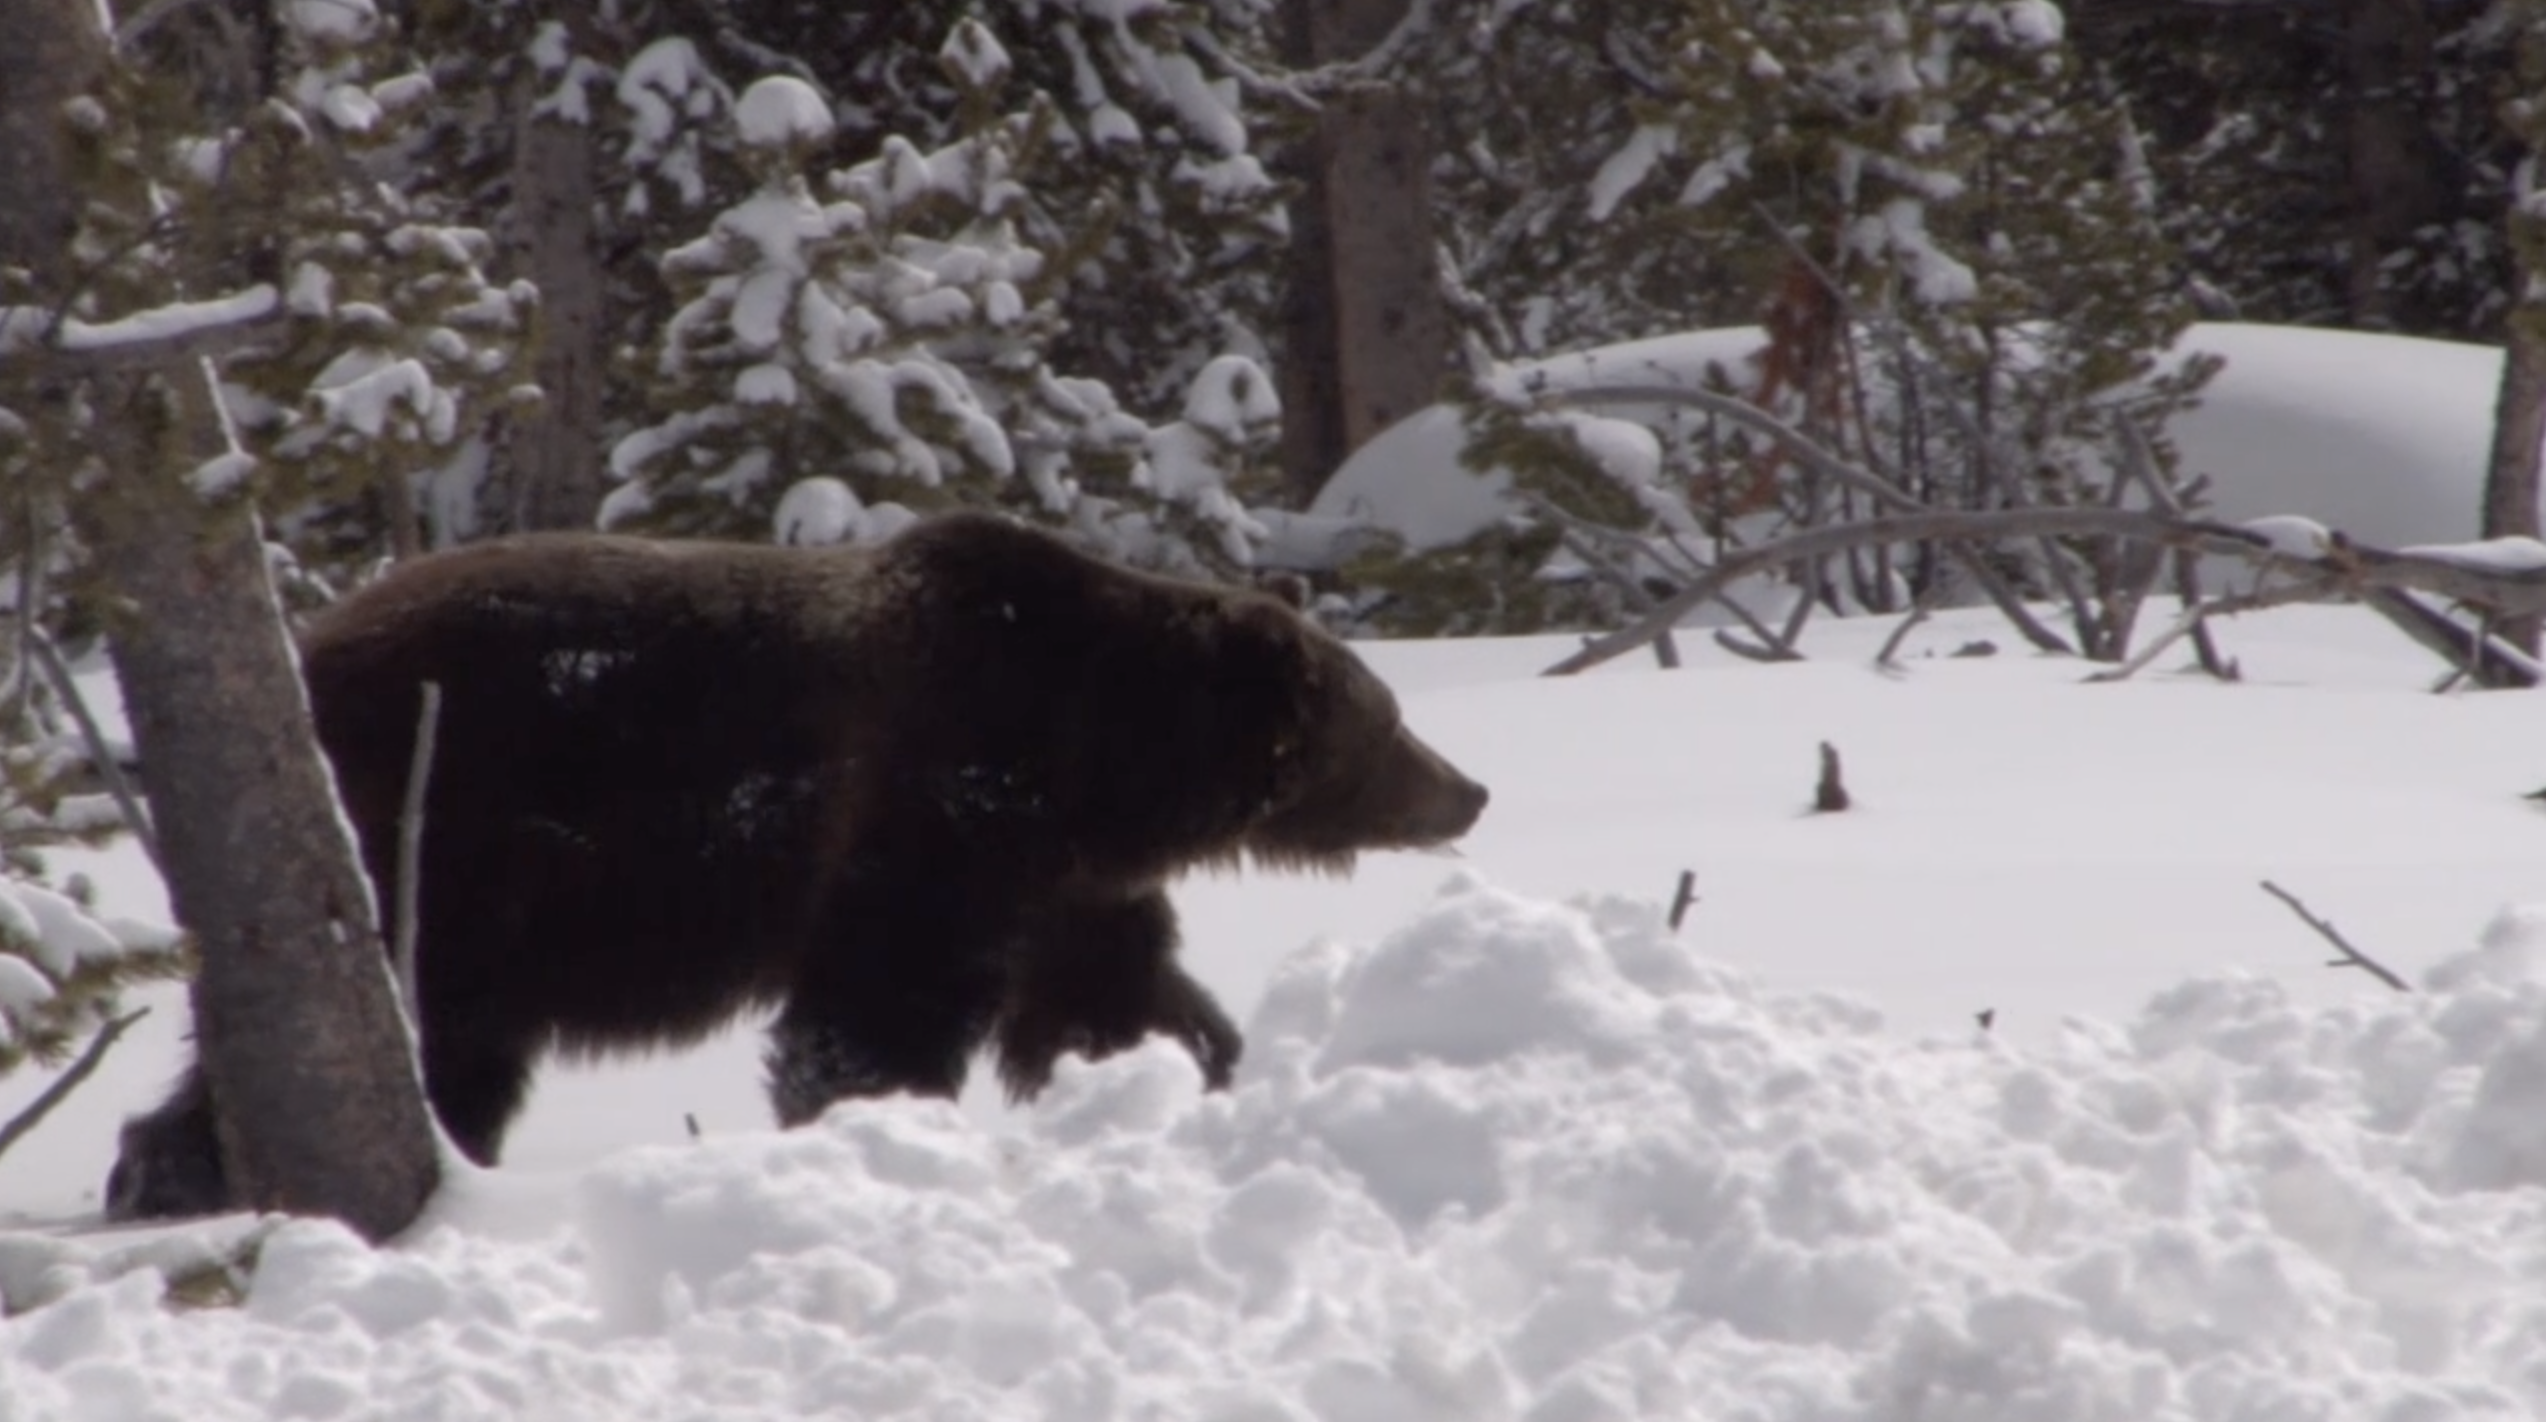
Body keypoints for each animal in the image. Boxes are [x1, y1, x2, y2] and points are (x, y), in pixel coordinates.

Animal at [106, 510, 1489, 1220]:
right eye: (1384, 721)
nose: (1469, 789)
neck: (1095, 756)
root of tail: (311, 651)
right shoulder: (935, 800)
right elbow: (880, 998)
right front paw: (869, 1118)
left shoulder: (1061, 876)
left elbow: (1112, 994)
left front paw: (1205, 1065)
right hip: (456, 839)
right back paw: (179, 1174)